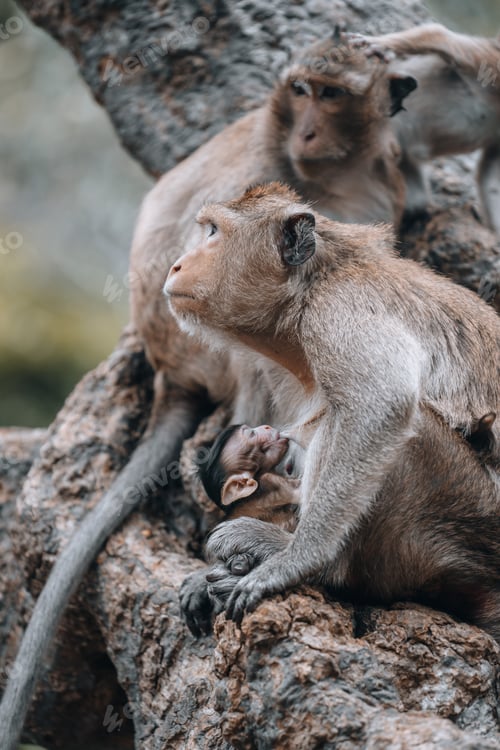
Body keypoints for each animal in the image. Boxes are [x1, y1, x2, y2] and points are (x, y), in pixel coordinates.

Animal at [0, 39, 418, 750]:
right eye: (303, 91)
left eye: (333, 95)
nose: (308, 132)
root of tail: (170, 369)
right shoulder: (261, 189)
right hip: (202, 347)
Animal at [164, 182, 500, 636]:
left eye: (214, 231)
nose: (177, 265)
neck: (313, 282)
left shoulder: (337, 309)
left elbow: (382, 402)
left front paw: (297, 561)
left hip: (468, 517)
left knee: (398, 435)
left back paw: (319, 564)